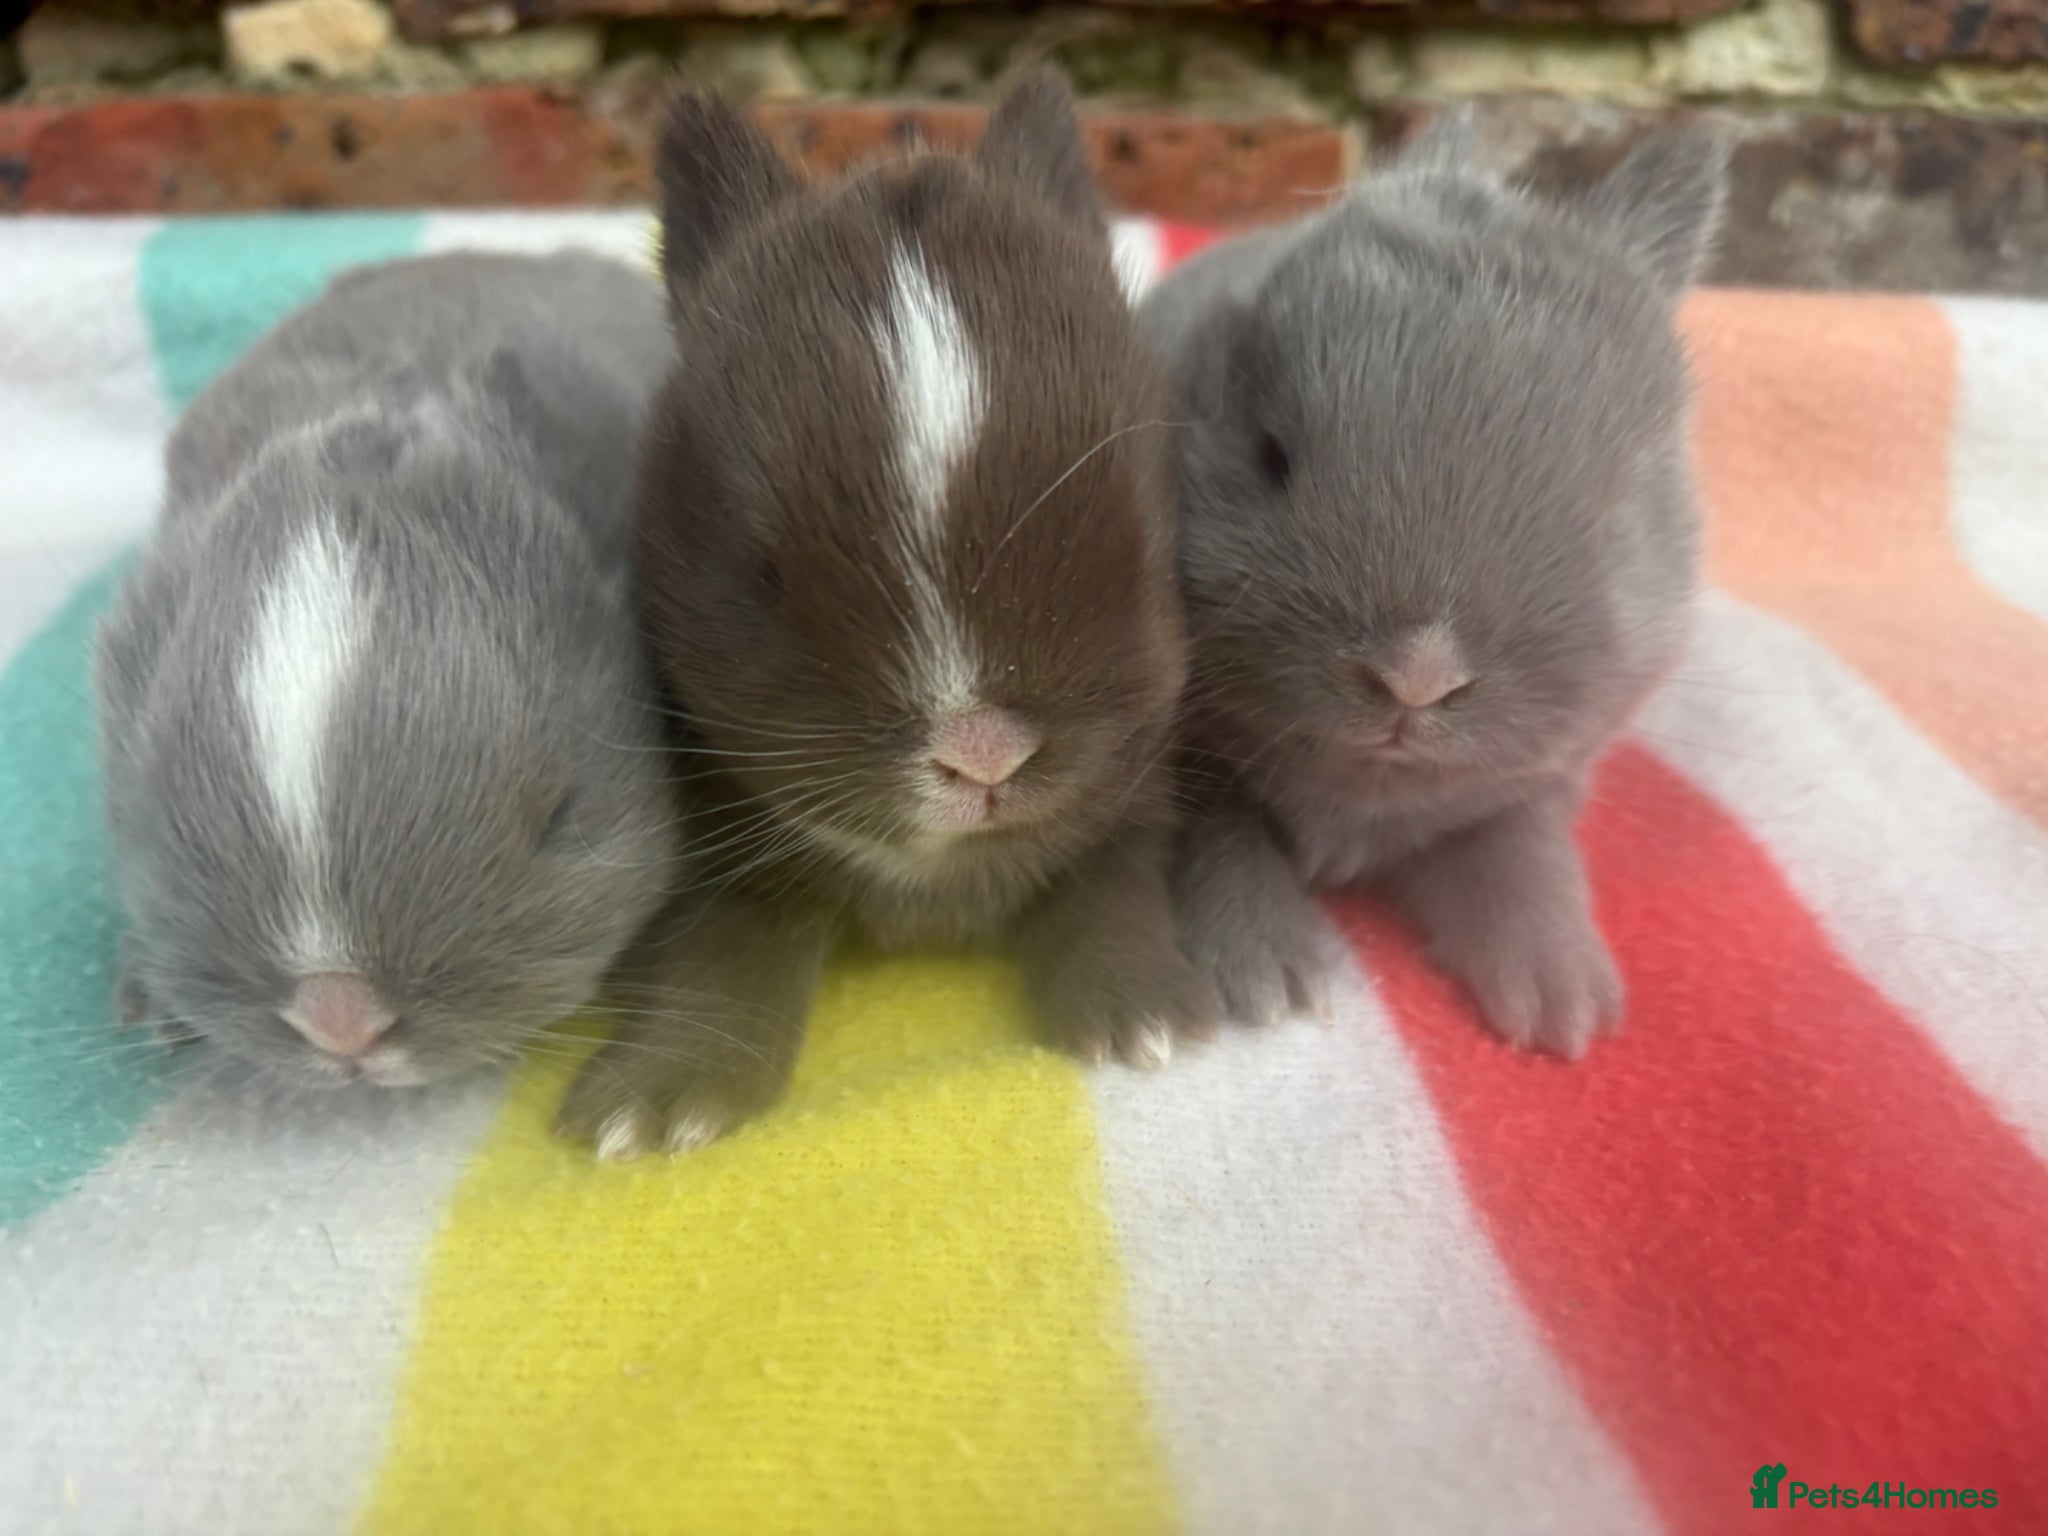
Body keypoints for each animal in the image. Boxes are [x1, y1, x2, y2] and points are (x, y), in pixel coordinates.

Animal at [557, 68, 1215, 1160]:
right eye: (762, 575)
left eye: (1133, 537)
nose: (982, 753)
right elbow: (721, 950)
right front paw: (654, 1107)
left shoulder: (1132, 797)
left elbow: (1107, 889)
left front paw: (1142, 1018)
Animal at [1144, 114, 1726, 1059]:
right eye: (1270, 454)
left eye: (1612, 513)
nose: (1416, 677)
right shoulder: (1193, 776)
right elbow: (1222, 841)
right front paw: (1270, 986)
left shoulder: (1530, 793)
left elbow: (1520, 855)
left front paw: (1562, 1008)